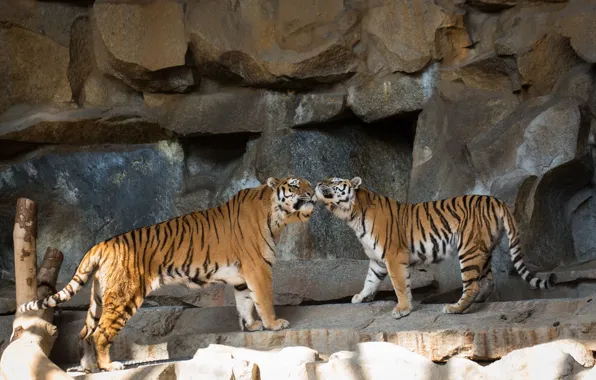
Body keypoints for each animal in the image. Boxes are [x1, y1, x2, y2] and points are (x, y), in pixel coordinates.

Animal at [17, 177, 316, 372]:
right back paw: (110, 366)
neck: (277, 217)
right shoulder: (258, 269)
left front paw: (252, 326)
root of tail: (101, 244)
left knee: (86, 333)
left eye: (309, 183)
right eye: (295, 184)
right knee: (101, 333)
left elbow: (245, 303)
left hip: (100, 297)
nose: (314, 192)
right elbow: (263, 299)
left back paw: (89, 367)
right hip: (125, 296)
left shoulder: (242, 277)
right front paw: (275, 324)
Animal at [316, 177, 556, 320]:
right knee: (488, 281)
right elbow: (370, 280)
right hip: (483, 249)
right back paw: (475, 302)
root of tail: (496, 200)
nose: (318, 182)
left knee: (473, 285)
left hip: (468, 249)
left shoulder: (393, 255)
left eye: (335, 180)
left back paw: (455, 308)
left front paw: (402, 309)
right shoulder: (377, 260)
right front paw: (361, 297)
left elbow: (400, 285)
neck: (353, 215)